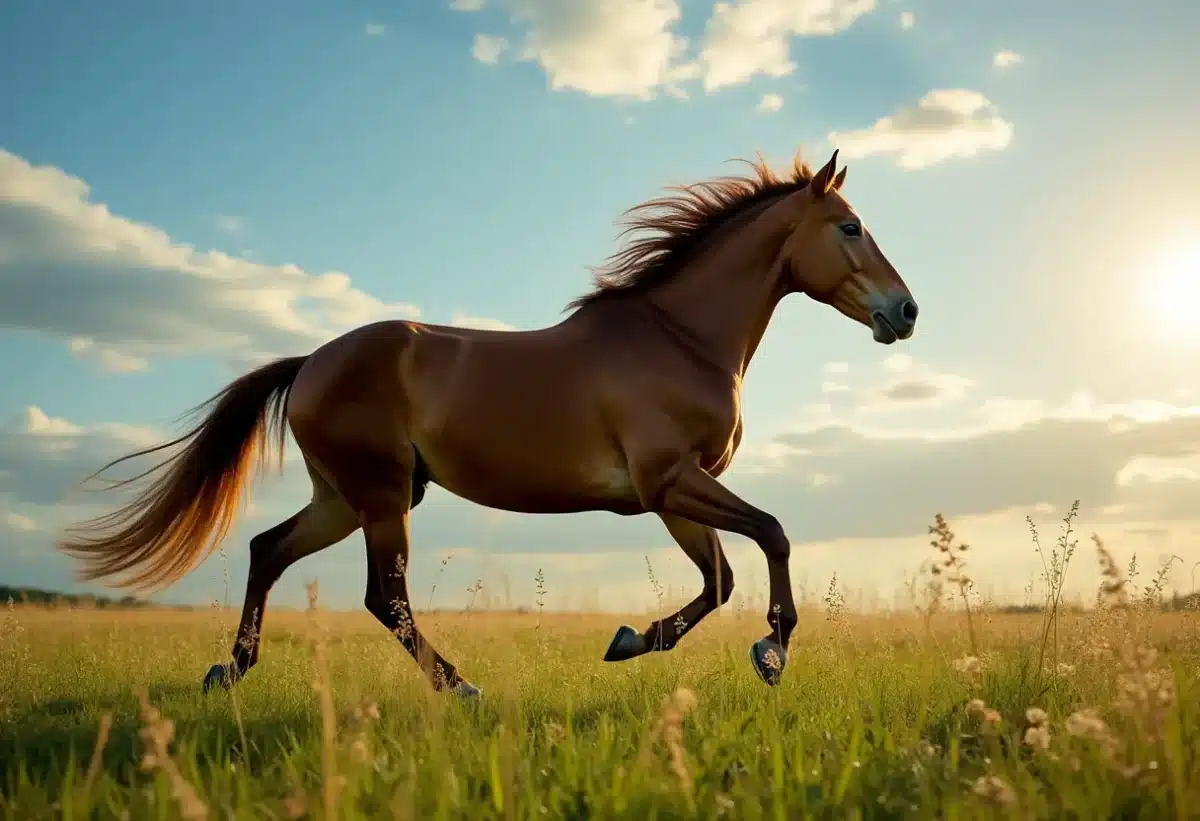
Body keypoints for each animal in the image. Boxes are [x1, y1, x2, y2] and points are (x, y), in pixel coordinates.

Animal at [56, 147, 916, 691]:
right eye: (850, 226)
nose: (905, 312)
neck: (679, 337)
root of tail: (311, 363)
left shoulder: (671, 493)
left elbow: (719, 578)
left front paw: (629, 640)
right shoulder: (671, 479)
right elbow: (771, 535)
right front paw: (771, 650)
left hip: (348, 497)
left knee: (269, 551)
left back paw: (229, 671)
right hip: (381, 498)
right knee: (385, 599)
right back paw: (460, 686)